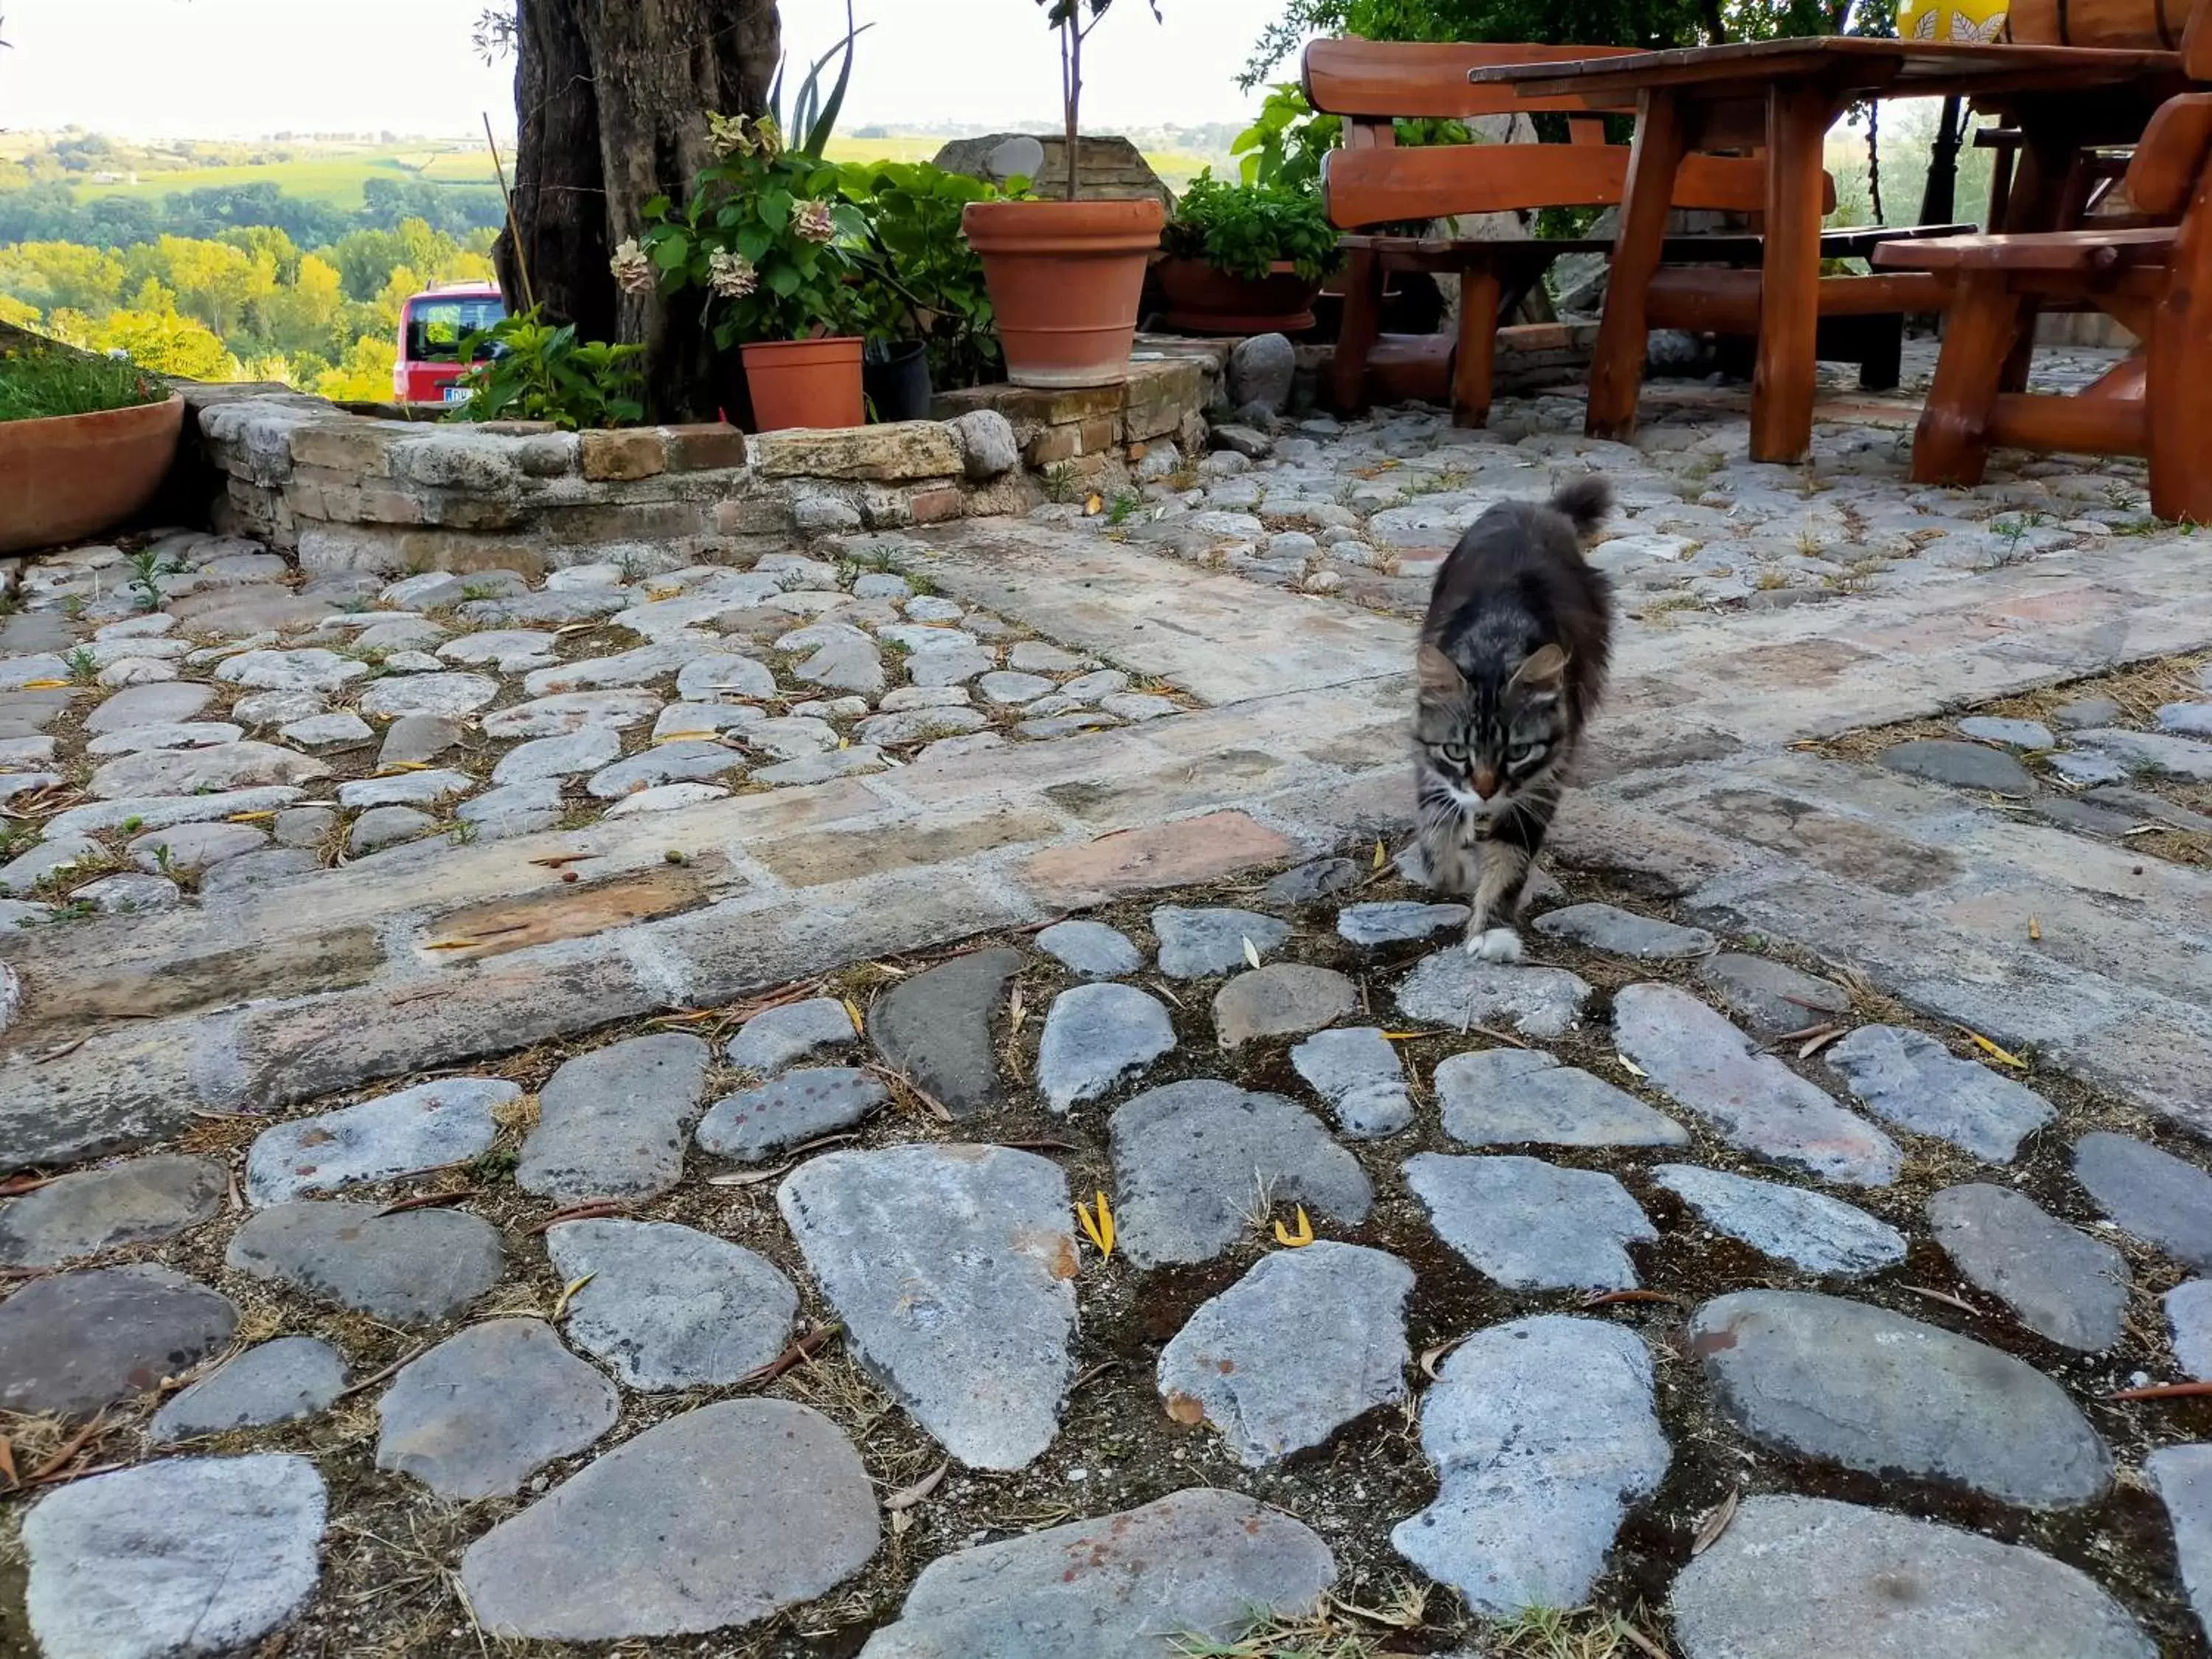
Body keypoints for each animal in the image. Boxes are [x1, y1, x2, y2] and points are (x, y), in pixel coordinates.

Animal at [1407, 473, 1619, 960]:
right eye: (1457, 750)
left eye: (1518, 752)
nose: (1486, 792)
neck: (1496, 642)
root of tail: (1536, 508)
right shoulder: (1429, 758)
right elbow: (1435, 824)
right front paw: (1451, 871)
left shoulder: (1544, 778)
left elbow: (1511, 857)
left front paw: (1492, 932)